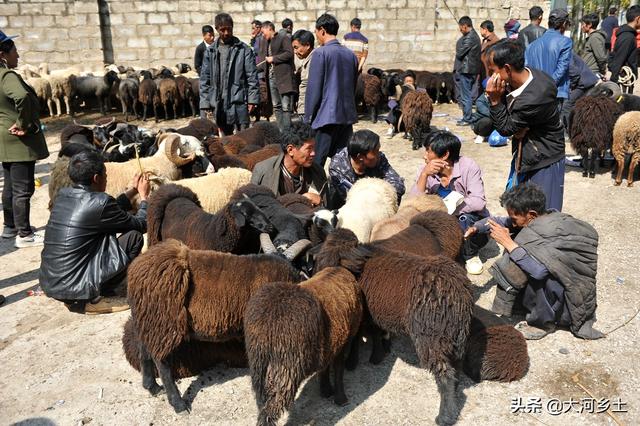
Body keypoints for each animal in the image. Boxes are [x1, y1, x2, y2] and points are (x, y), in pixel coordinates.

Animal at [129, 238, 304, 412]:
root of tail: (136, 269)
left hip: (150, 319)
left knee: (144, 349)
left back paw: (152, 387)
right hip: (165, 322)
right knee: (162, 362)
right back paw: (178, 403)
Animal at [246, 266, 364, 426]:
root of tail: (268, 324)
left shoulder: (329, 345)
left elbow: (325, 368)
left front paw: (326, 391)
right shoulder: (343, 341)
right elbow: (338, 370)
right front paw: (340, 399)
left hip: (259, 367)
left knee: (261, 403)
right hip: (286, 366)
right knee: (271, 408)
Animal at [316, 230, 476, 426]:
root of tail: (459, 293)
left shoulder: (362, 313)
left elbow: (357, 337)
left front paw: (352, 361)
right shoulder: (374, 313)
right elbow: (376, 332)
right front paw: (378, 355)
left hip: (432, 337)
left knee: (445, 374)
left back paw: (444, 417)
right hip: (456, 335)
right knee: (456, 367)